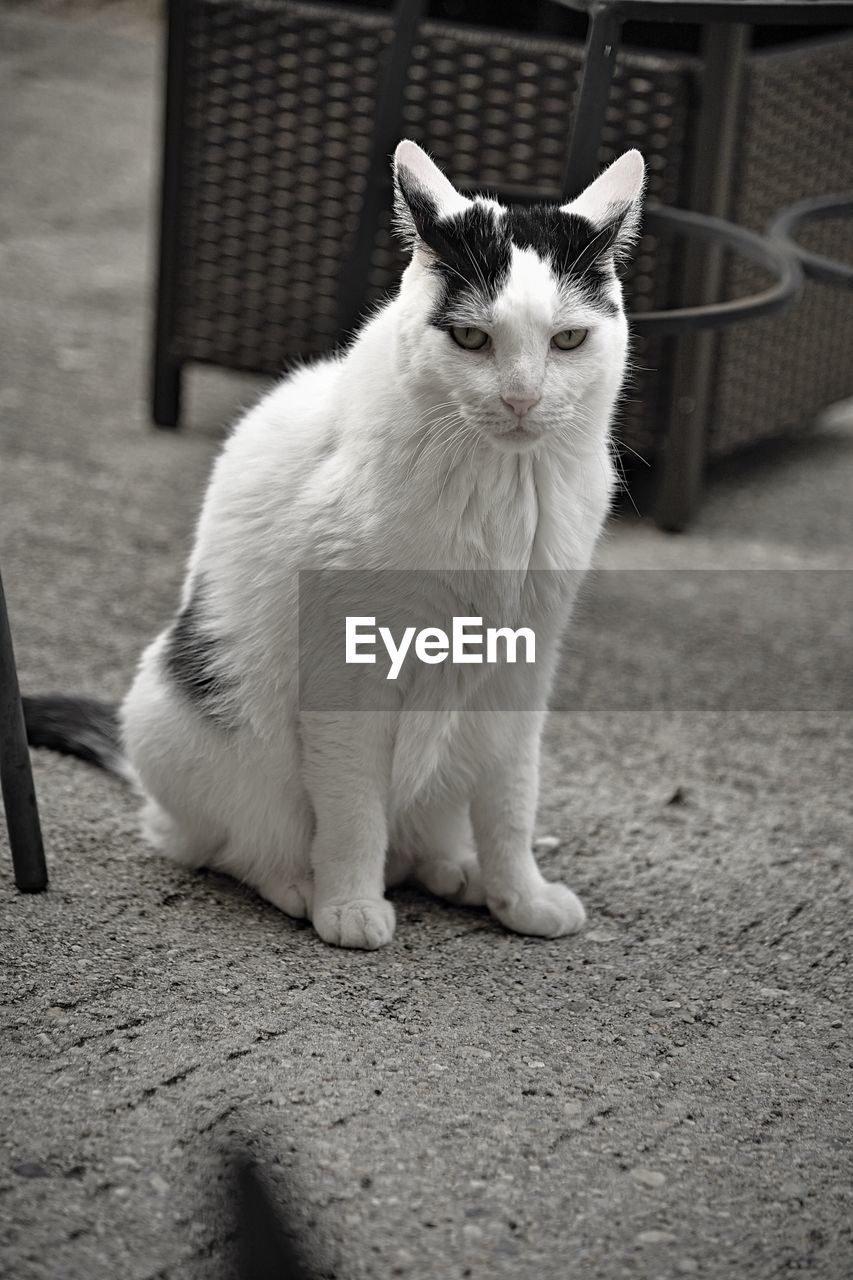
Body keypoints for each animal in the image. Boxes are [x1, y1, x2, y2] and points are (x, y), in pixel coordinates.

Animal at [23, 140, 640, 952]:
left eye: (568, 339)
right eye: (470, 337)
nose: (520, 399)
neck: (500, 490)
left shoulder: (522, 665)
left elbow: (512, 801)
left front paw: (520, 896)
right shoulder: (349, 677)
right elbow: (351, 809)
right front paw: (349, 904)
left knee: (428, 828)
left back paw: (457, 871)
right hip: (179, 714)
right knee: (226, 843)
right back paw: (302, 885)